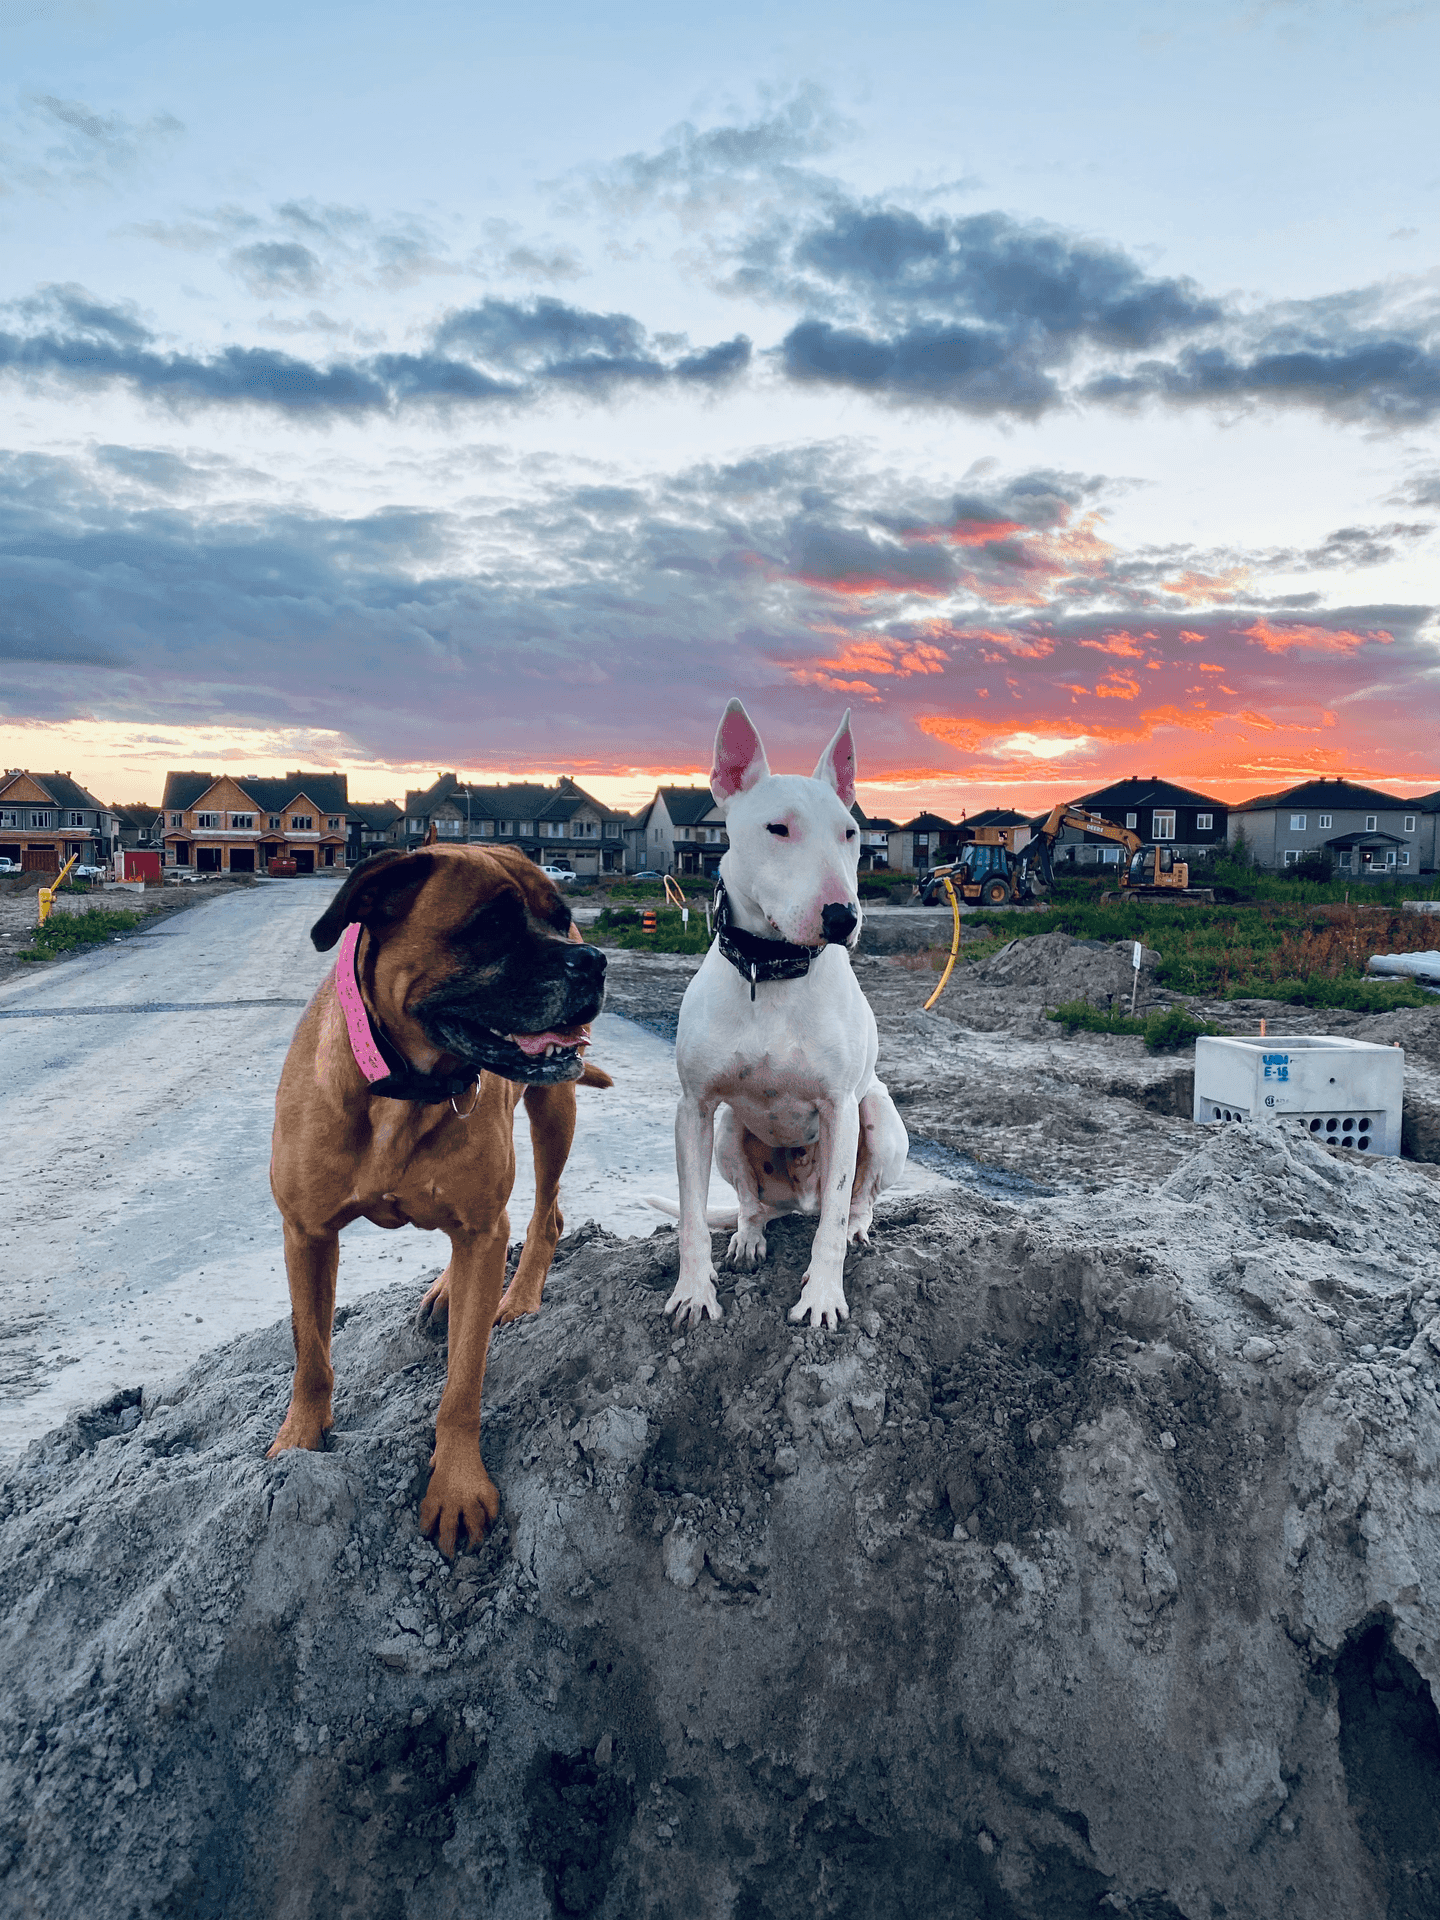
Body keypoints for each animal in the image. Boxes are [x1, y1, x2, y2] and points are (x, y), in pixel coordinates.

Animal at [266, 848, 610, 1551]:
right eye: (491, 925)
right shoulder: (306, 1232)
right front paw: (299, 1440)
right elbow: (311, 1353)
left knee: (547, 1215)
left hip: (553, 1111)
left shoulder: (482, 1226)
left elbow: (463, 1383)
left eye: (559, 916)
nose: (590, 959)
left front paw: (456, 1487)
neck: (407, 1088)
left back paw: (519, 1296)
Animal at [660, 698, 906, 1328]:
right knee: (750, 1202)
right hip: (727, 1131)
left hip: (878, 1117)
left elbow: (834, 1223)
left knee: (855, 1202)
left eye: (851, 833)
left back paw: (858, 1229)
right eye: (778, 828)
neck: (770, 970)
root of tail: (796, 1200)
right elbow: (692, 1218)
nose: (843, 917)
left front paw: (822, 1298)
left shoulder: (840, 1107)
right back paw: (749, 1238)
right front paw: (693, 1293)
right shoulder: (694, 1108)